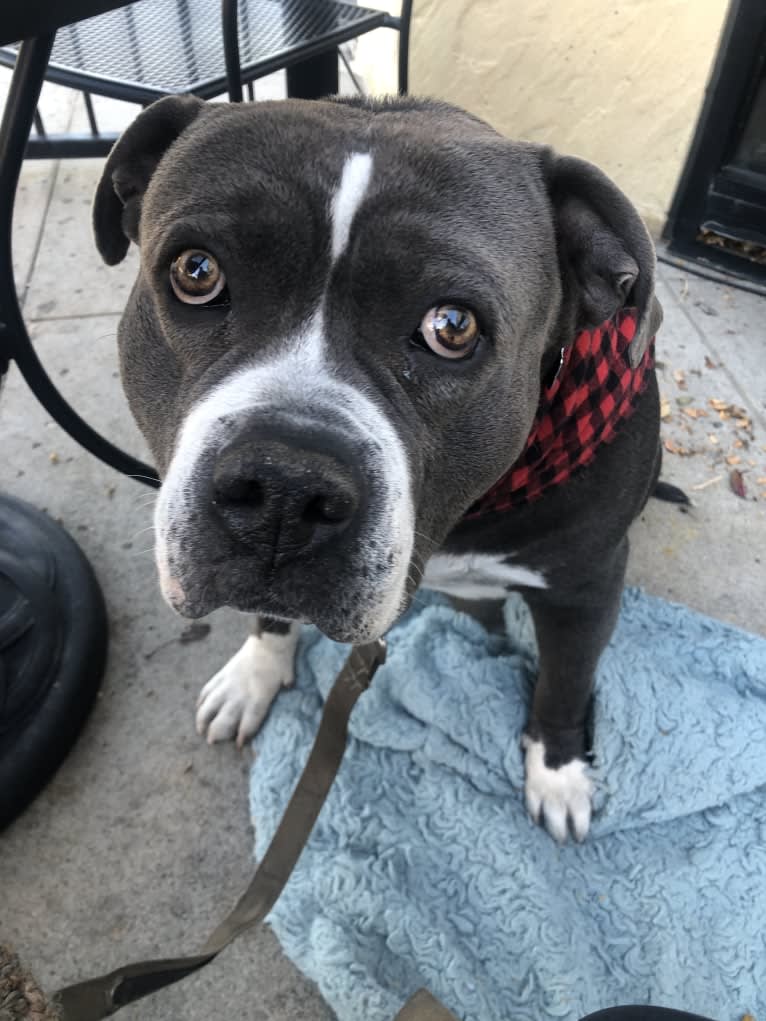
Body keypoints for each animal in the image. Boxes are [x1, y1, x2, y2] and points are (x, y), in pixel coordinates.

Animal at [94, 93, 665, 845]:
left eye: (453, 325)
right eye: (196, 272)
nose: (284, 488)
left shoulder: (587, 584)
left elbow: (564, 684)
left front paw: (559, 773)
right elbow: (270, 615)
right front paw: (256, 674)